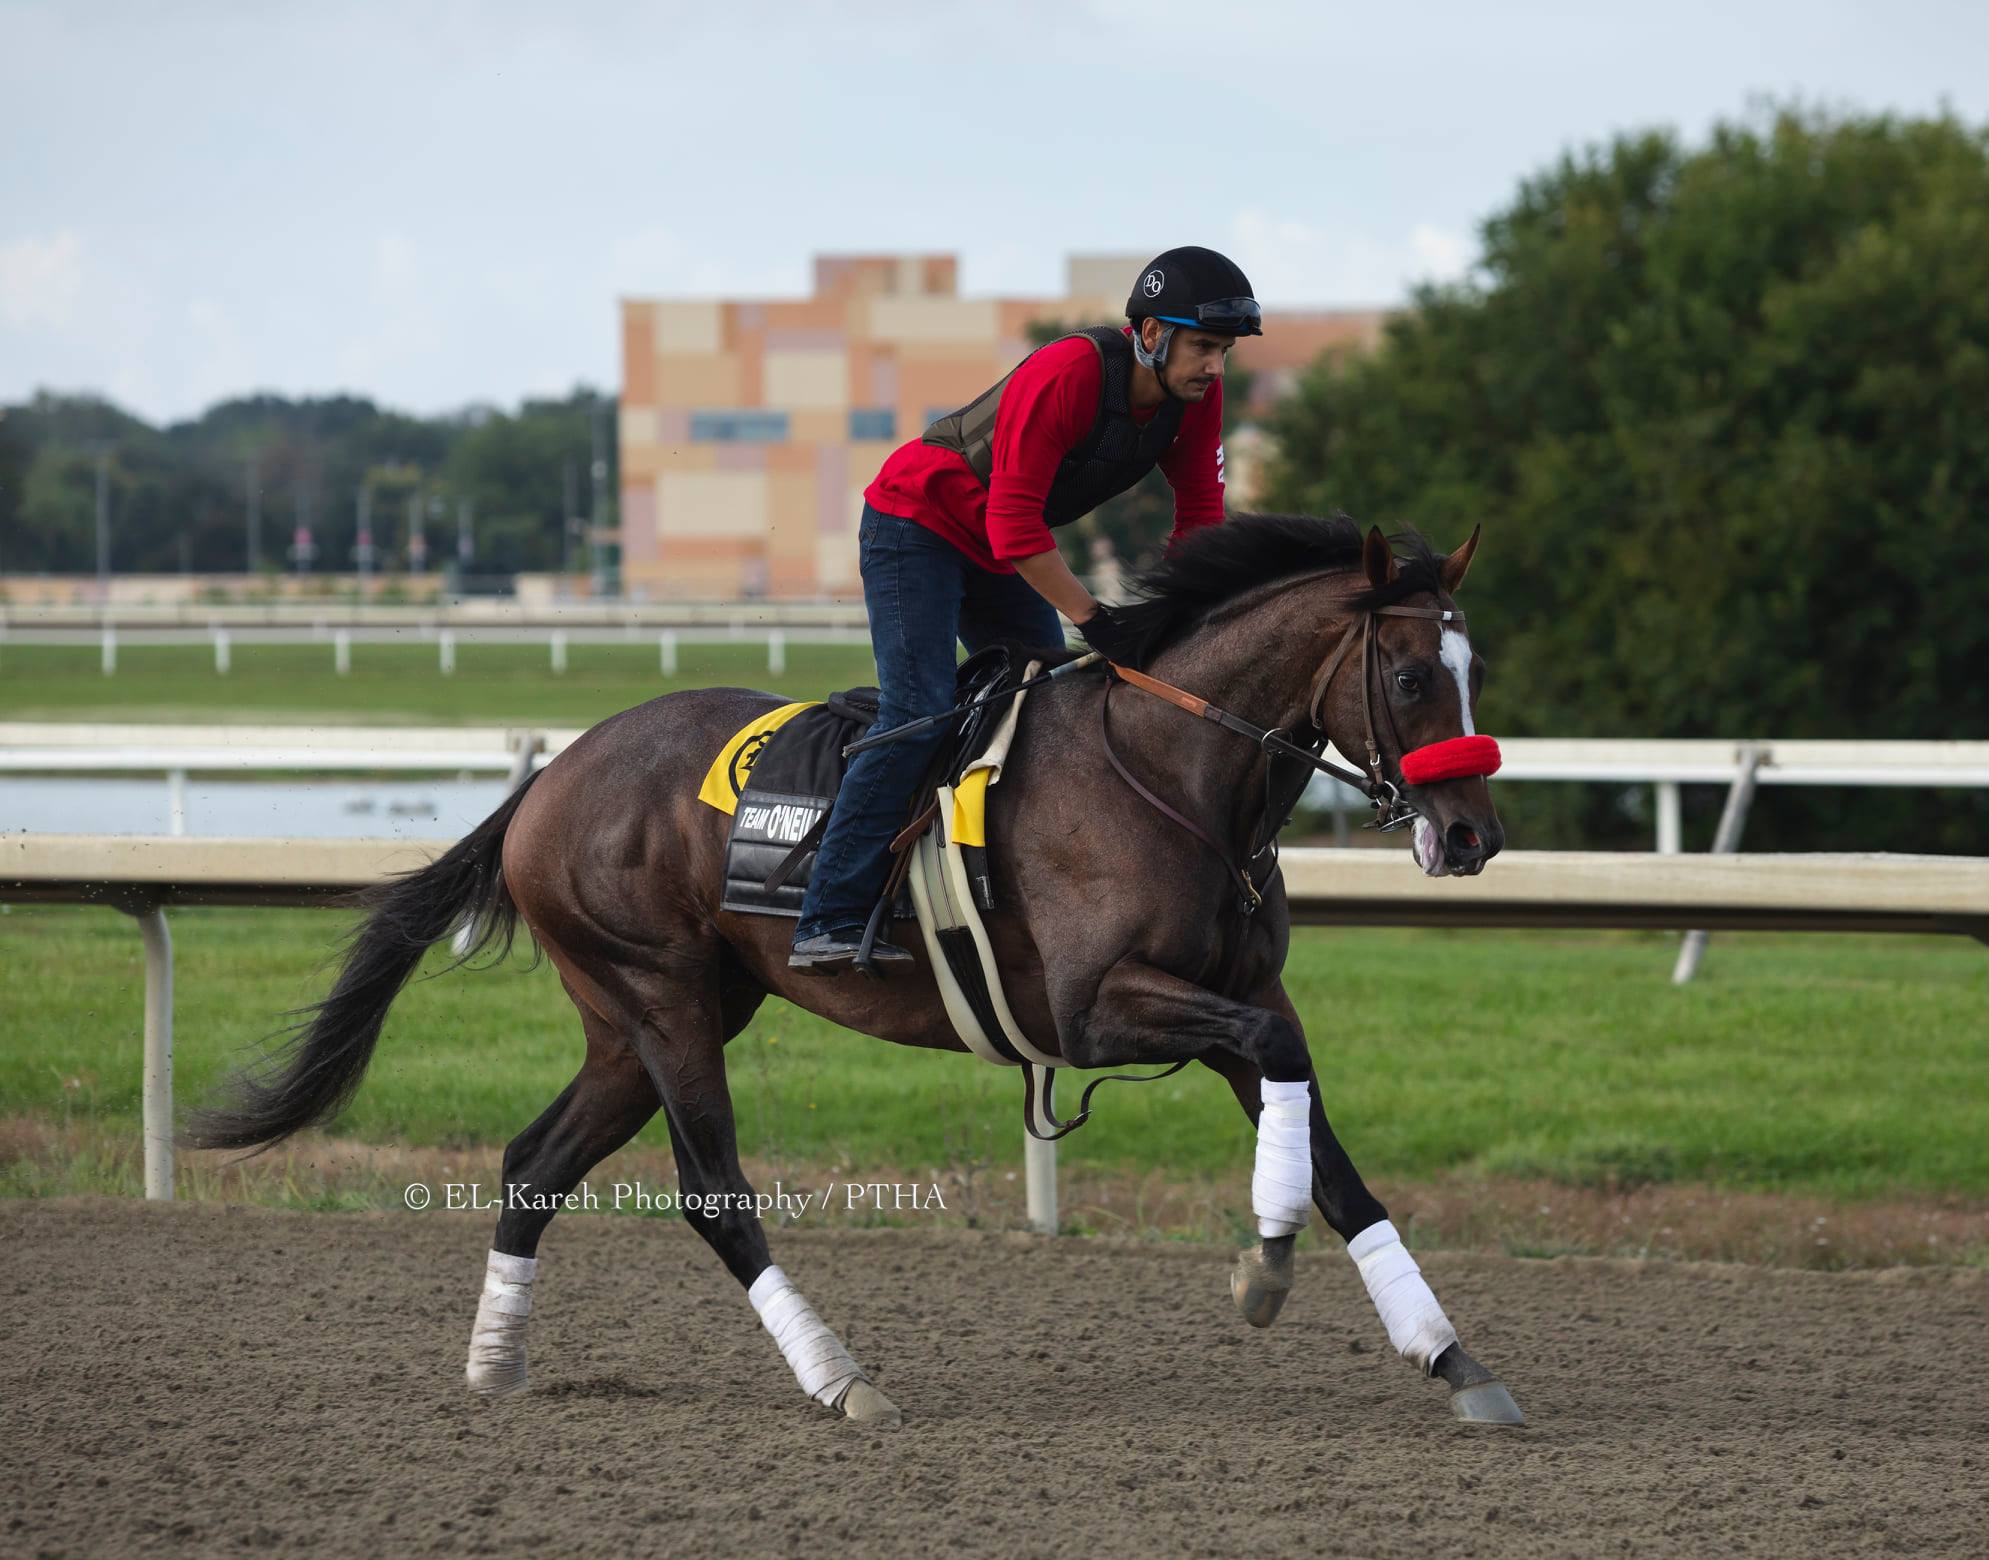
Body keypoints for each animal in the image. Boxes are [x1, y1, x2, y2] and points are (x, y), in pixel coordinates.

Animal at [186, 509, 1519, 1424]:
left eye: (1477, 673)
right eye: (1411, 675)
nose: (1471, 837)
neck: (1171, 773)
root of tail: (549, 777)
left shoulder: (1238, 994)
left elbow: (1337, 1160)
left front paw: (1451, 1356)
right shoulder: (1098, 1009)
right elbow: (1289, 1091)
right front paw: (1265, 1260)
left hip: (640, 1019)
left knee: (532, 1164)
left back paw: (494, 1362)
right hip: (661, 996)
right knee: (711, 1191)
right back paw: (840, 1378)